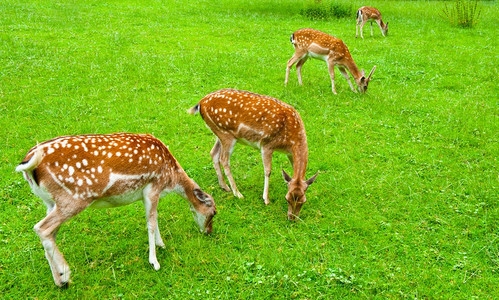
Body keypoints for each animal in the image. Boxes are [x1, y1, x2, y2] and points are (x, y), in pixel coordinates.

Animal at [16, 133, 216, 286]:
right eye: (213, 213)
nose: (209, 232)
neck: (170, 178)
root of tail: (29, 164)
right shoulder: (153, 186)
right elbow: (151, 223)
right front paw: (154, 261)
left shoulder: (147, 194)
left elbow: (154, 217)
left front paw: (161, 244)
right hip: (73, 198)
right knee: (41, 228)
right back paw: (65, 273)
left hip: (50, 202)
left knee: (49, 233)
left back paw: (59, 279)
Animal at [189, 89, 318, 220]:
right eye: (287, 199)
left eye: (303, 201)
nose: (292, 218)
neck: (291, 141)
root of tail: (201, 103)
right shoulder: (267, 144)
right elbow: (268, 171)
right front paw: (266, 199)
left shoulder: (290, 153)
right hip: (226, 134)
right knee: (223, 159)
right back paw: (238, 193)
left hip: (219, 133)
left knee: (213, 152)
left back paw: (224, 186)